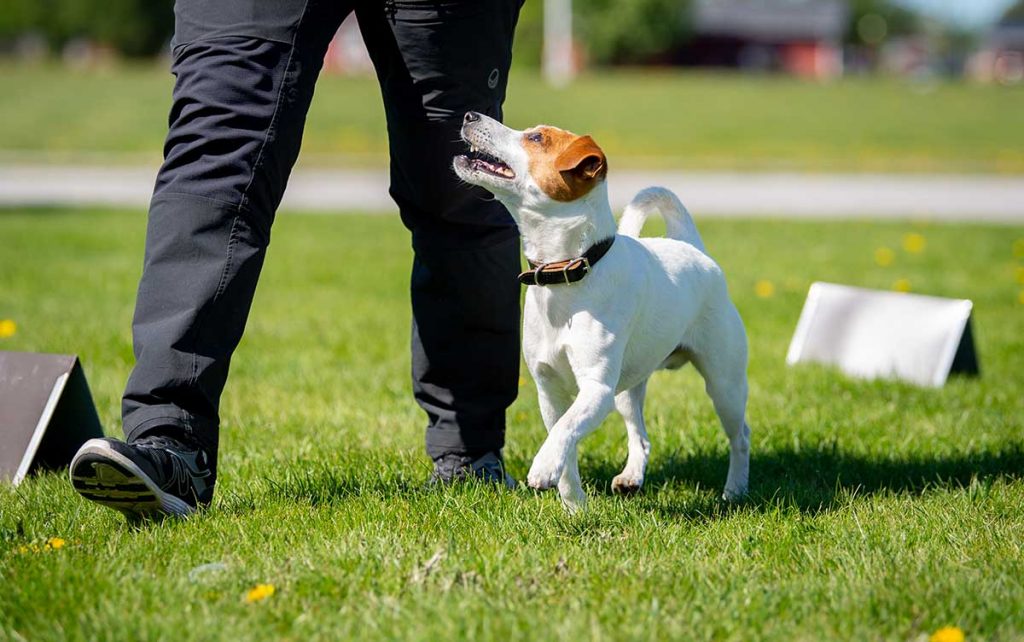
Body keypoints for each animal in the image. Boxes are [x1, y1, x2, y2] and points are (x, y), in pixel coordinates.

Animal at [452, 111, 749, 511]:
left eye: (536, 138)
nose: (470, 114)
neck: (568, 273)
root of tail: (691, 246)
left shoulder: (596, 388)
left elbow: (565, 431)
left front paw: (543, 467)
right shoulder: (550, 389)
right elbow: (566, 444)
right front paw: (574, 506)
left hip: (723, 383)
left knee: (740, 435)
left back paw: (735, 490)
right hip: (628, 386)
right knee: (640, 435)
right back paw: (631, 477)